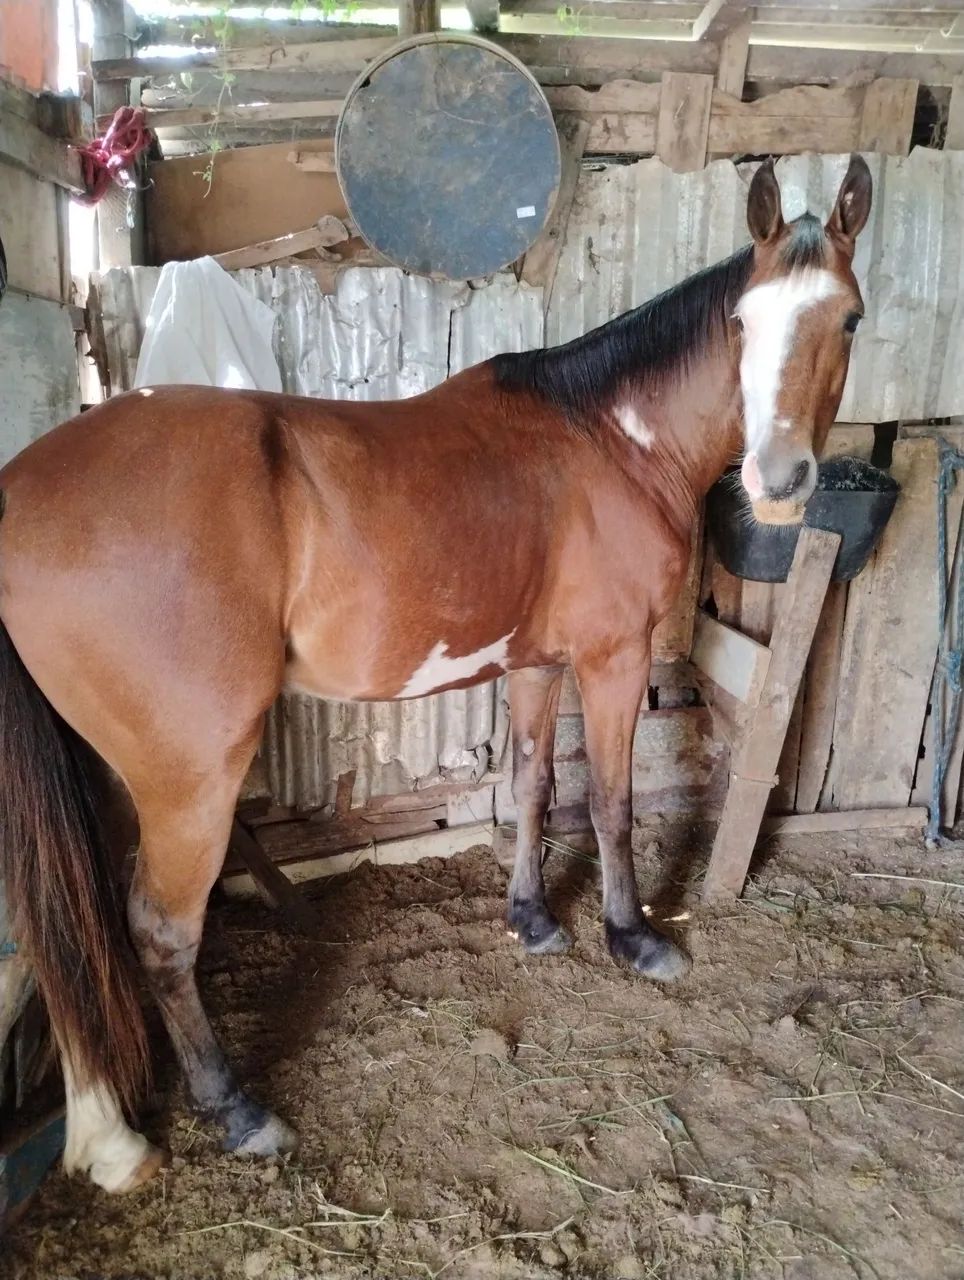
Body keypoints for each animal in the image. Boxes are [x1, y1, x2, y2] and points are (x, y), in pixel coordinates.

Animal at [0, 156, 871, 1193]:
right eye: (742, 320)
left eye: (848, 317)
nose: (779, 484)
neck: (611, 437)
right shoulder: (612, 660)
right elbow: (611, 802)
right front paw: (634, 938)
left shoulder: (536, 665)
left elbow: (533, 785)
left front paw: (533, 921)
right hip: (187, 778)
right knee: (158, 933)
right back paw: (235, 1111)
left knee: (67, 931)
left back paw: (109, 1137)